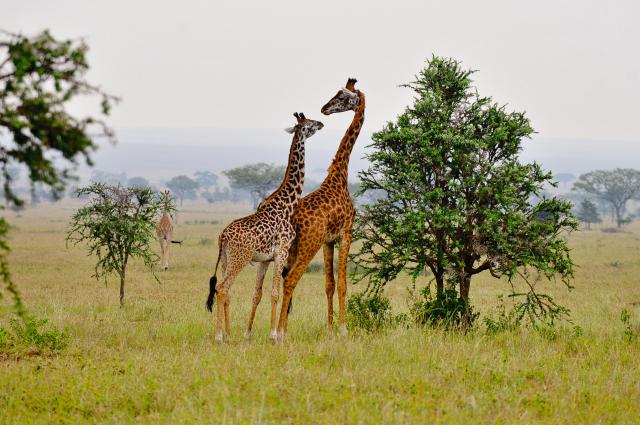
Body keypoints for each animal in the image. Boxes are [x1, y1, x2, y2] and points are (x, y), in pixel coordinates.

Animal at [206, 113, 324, 342]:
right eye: (310, 124)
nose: (322, 123)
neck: (288, 204)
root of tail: (223, 236)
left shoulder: (264, 260)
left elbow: (257, 294)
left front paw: (247, 334)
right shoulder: (282, 252)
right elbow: (275, 293)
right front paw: (274, 335)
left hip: (225, 260)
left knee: (225, 291)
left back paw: (229, 334)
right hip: (239, 259)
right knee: (222, 289)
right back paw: (219, 336)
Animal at [276, 78, 365, 340]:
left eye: (343, 96)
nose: (325, 108)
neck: (339, 176)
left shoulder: (329, 240)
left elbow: (329, 284)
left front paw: (329, 330)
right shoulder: (346, 233)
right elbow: (343, 284)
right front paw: (343, 330)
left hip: (294, 247)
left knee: (283, 279)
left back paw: (282, 329)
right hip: (309, 243)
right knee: (290, 279)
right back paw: (280, 333)